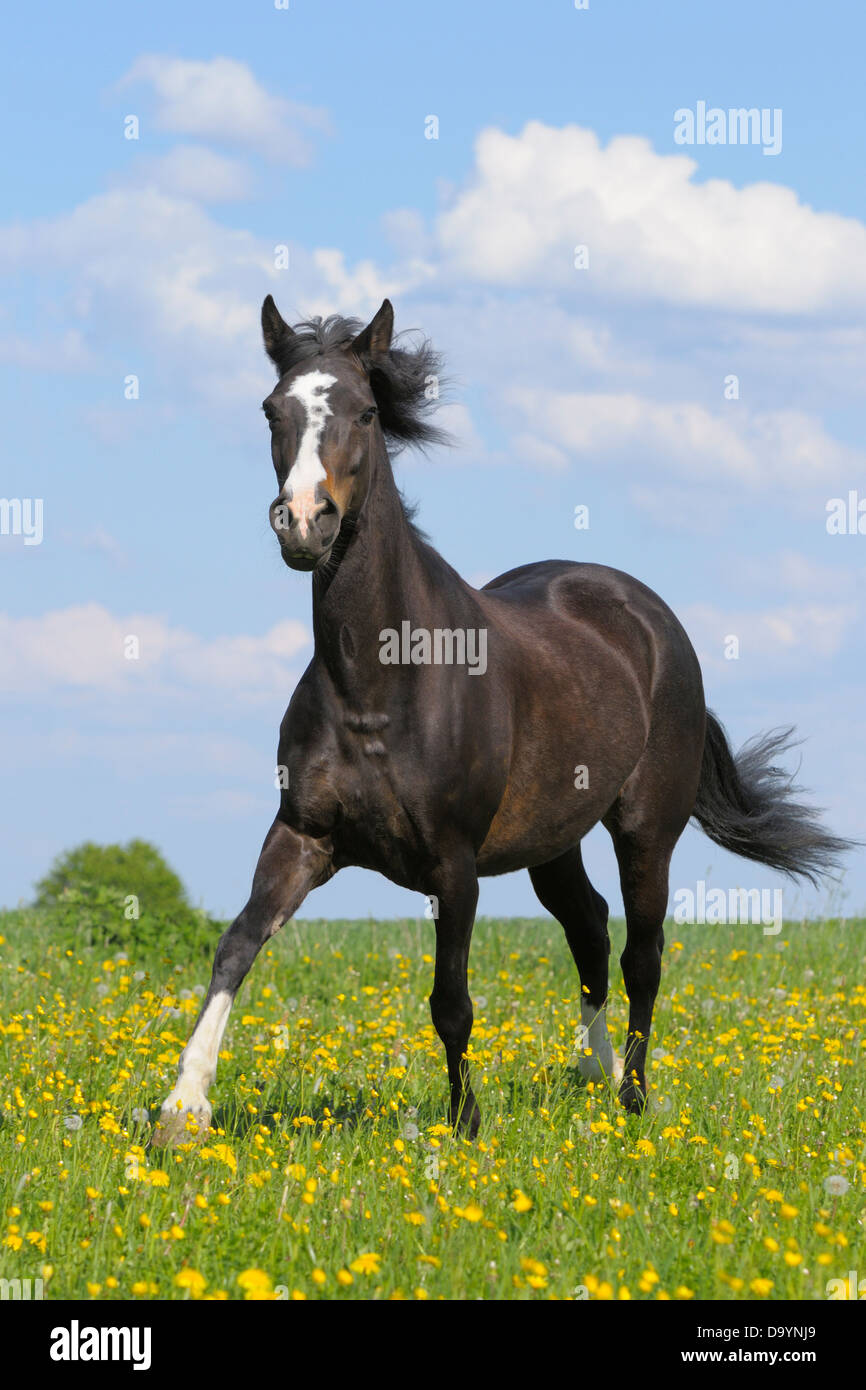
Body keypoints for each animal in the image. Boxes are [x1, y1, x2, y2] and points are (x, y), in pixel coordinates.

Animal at [152, 298, 850, 1145]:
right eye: (271, 410)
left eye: (366, 411)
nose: (305, 523)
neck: (379, 687)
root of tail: (651, 619)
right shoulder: (303, 836)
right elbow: (236, 946)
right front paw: (183, 1107)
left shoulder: (453, 865)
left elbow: (451, 1002)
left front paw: (465, 1122)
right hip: (551, 842)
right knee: (589, 927)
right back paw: (592, 1072)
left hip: (646, 831)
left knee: (641, 955)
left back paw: (632, 1098)